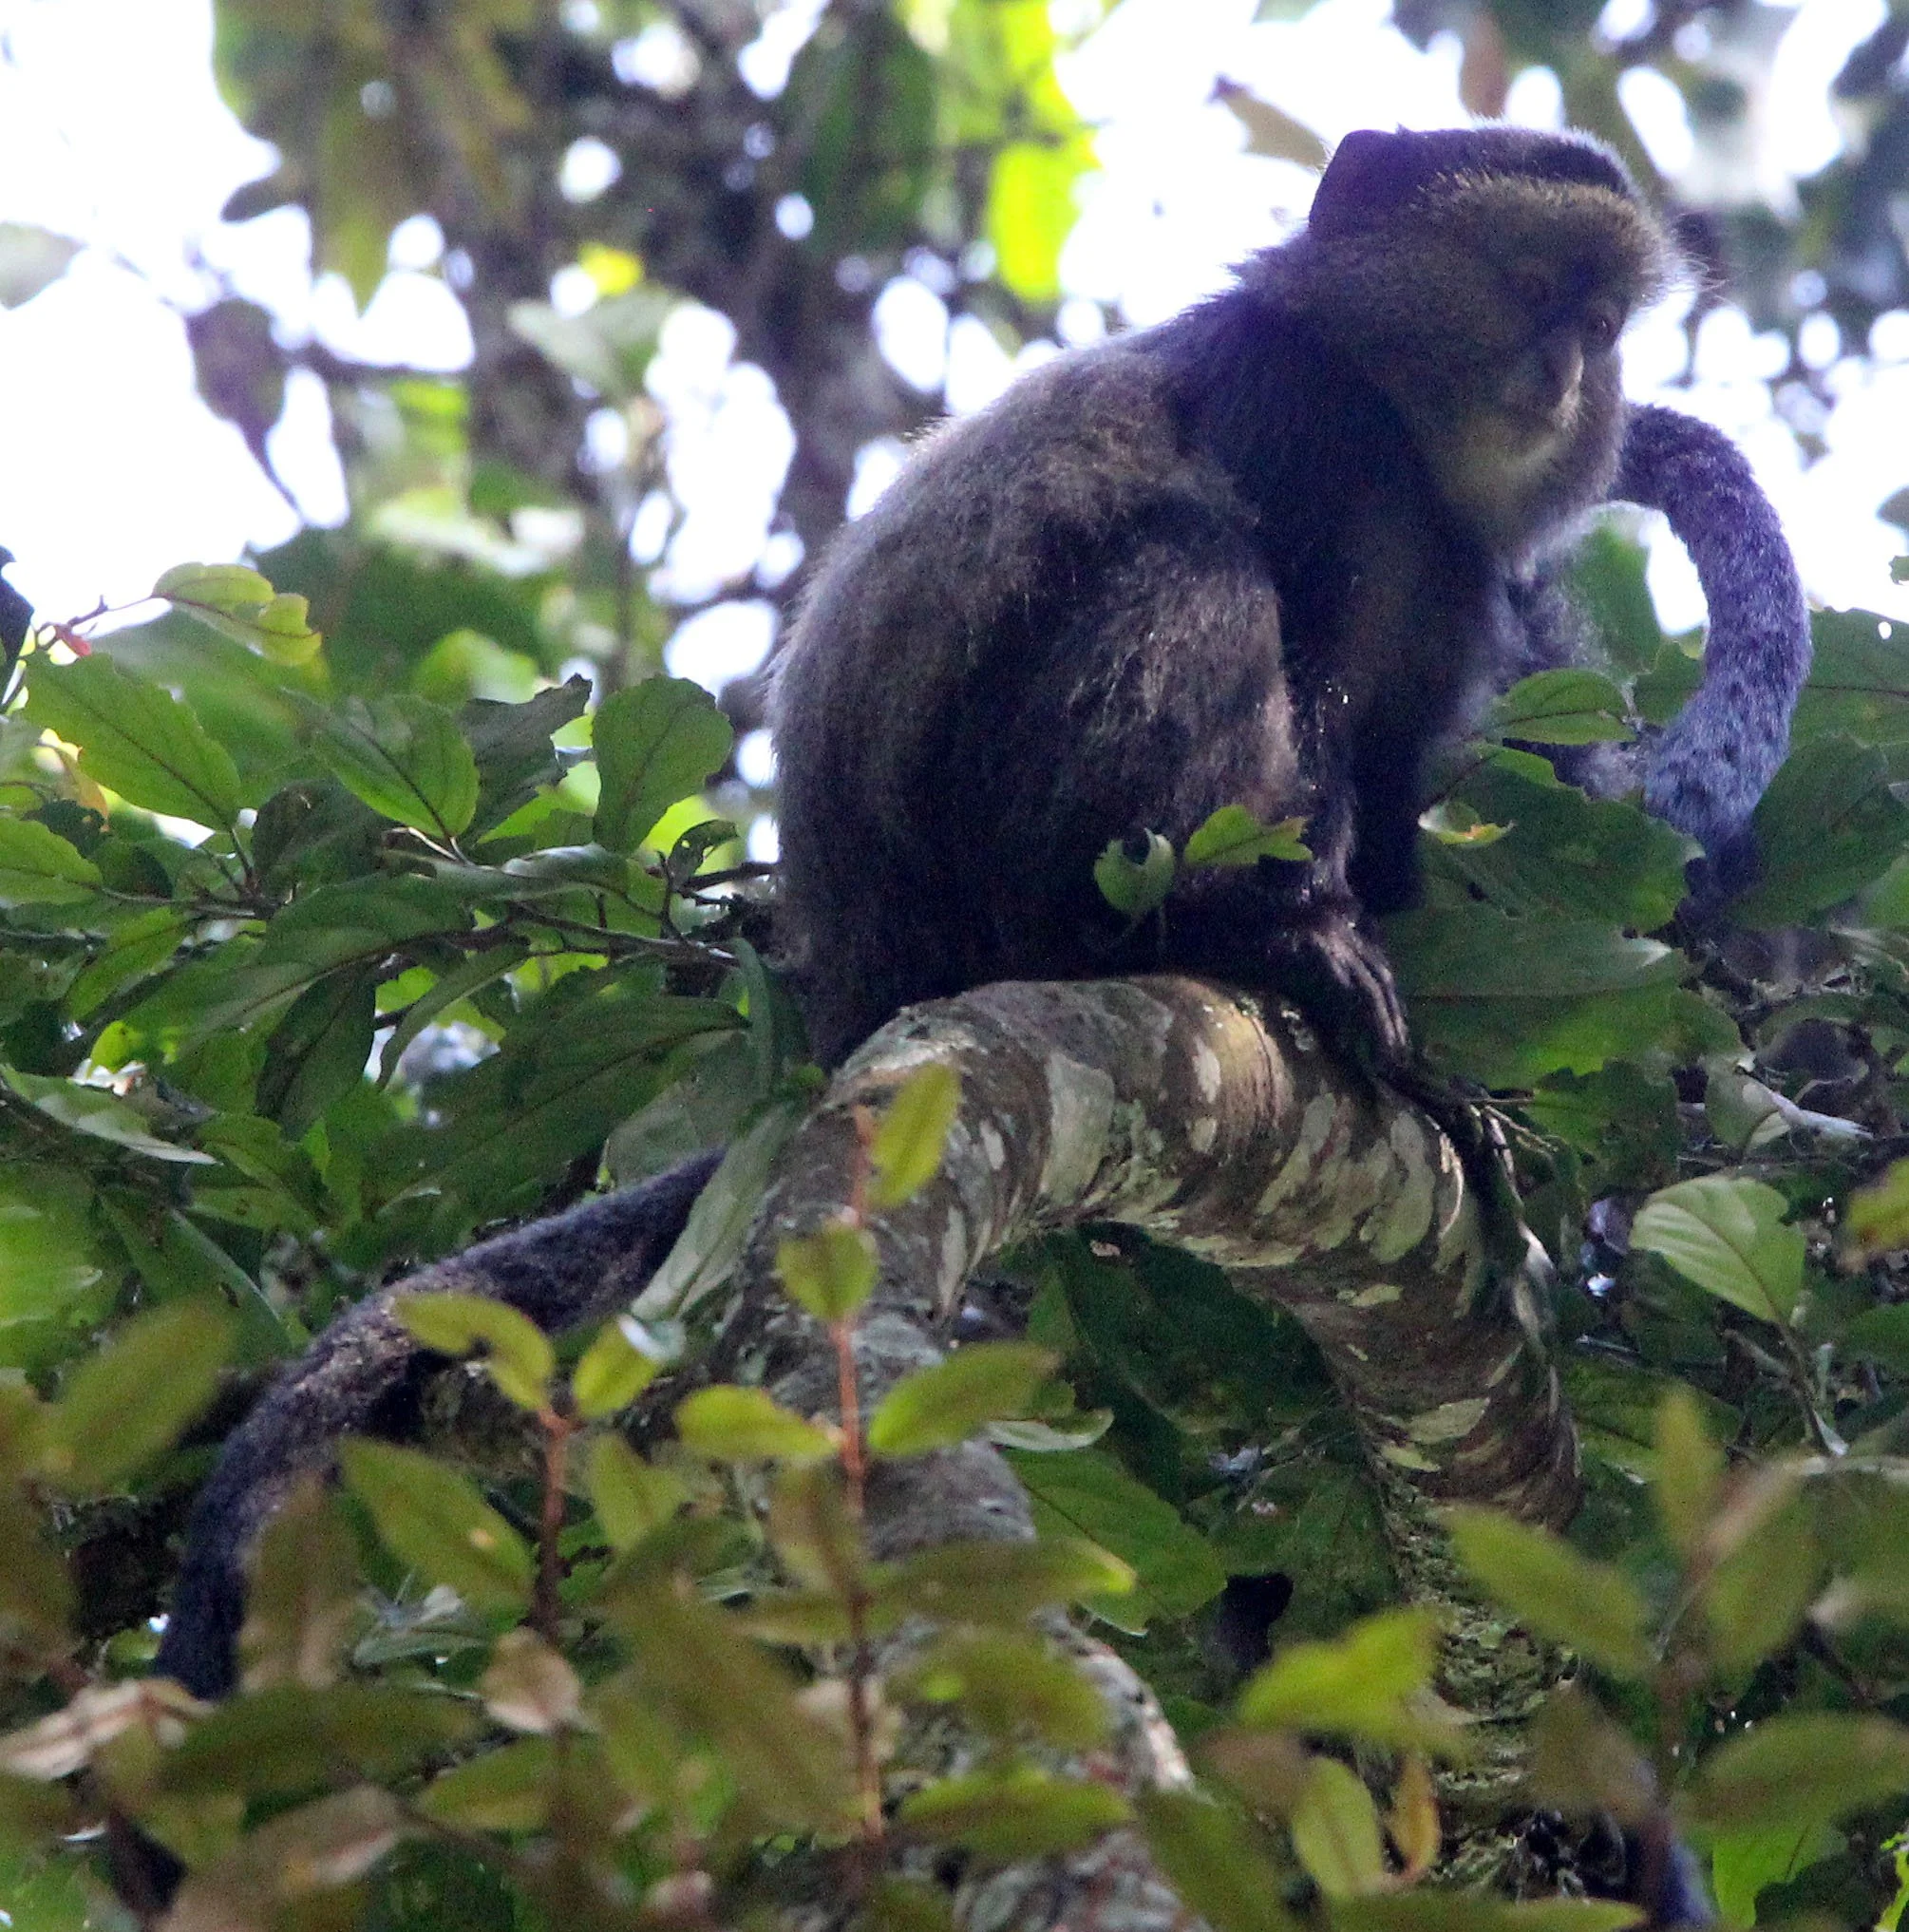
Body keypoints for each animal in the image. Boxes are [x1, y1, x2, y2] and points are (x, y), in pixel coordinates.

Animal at [149, 131, 1806, 1876]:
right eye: (1530, 287)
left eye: (1602, 321)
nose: (1564, 374)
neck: (1401, 437)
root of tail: (864, 978)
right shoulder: (1301, 410)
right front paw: (1305, 946)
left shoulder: (1458, 586)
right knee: (1187, 560)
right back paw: (1242, 942)